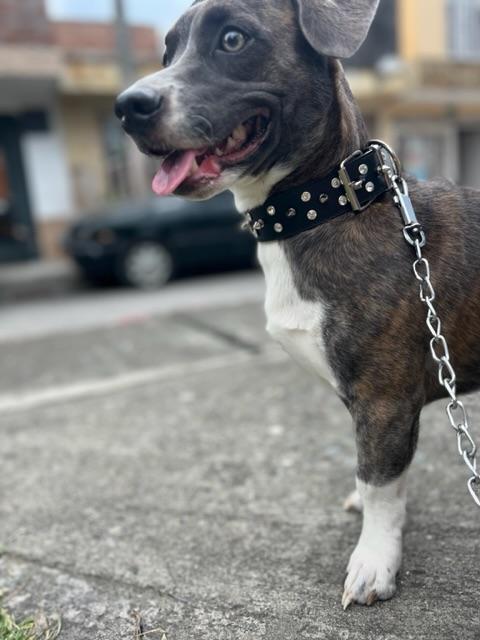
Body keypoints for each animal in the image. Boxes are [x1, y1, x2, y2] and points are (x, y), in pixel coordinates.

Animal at [115, 0, 480, 608]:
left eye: (233, 39)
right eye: (168, 52)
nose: (128, 107)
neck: (329, 205)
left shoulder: (384, 401)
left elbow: (380, 484)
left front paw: (374, 560)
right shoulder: (374, 408)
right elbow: (375, 475)